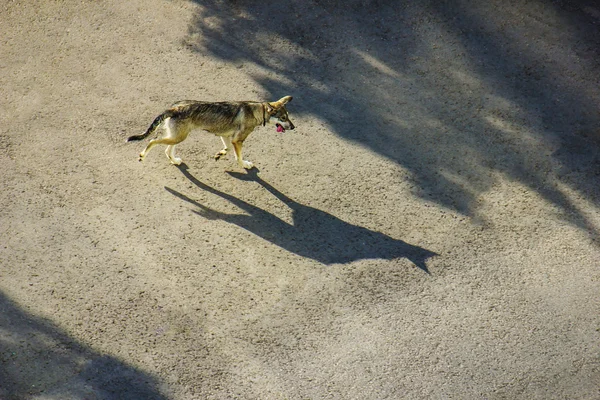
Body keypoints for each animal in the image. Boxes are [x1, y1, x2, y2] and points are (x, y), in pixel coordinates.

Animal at [127, 95, 294, 169]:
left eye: (288, 116)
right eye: (283, 118)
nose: (293, 127)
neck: (256, 111)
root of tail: (175, 108)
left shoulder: (226, 136)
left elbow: (227, 149)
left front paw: (220, 154)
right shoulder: (237, 140)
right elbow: (238, 158)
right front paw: (245, 164)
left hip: (177, 137)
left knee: (167, 151)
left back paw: (175, 161)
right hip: (177, 137)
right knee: (152, 141)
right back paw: (142, 156)